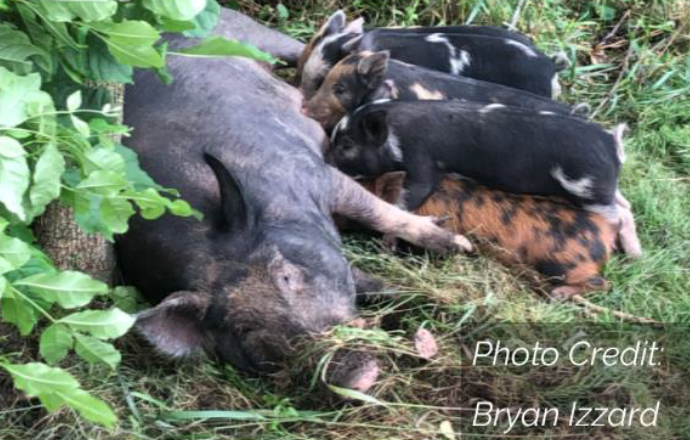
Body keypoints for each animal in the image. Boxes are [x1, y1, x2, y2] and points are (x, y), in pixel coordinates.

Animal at [117, 9, 470, 376]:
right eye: (243, 330)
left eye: (286, 276)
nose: (353, 376)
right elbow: (365, 279)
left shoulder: (317, 173)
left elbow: (379, 213)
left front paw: (459, 246)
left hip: (258, 34)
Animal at [327, 100, 642, 258]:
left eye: (347, 145)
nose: (326, 160)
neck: (396, 131)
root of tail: (611, 144)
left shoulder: (423, 160)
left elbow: (409, 198)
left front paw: (387, 245)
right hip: (600, 189)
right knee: (625, 204)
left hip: (587, 188)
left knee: (619, 213)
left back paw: (632, 253)